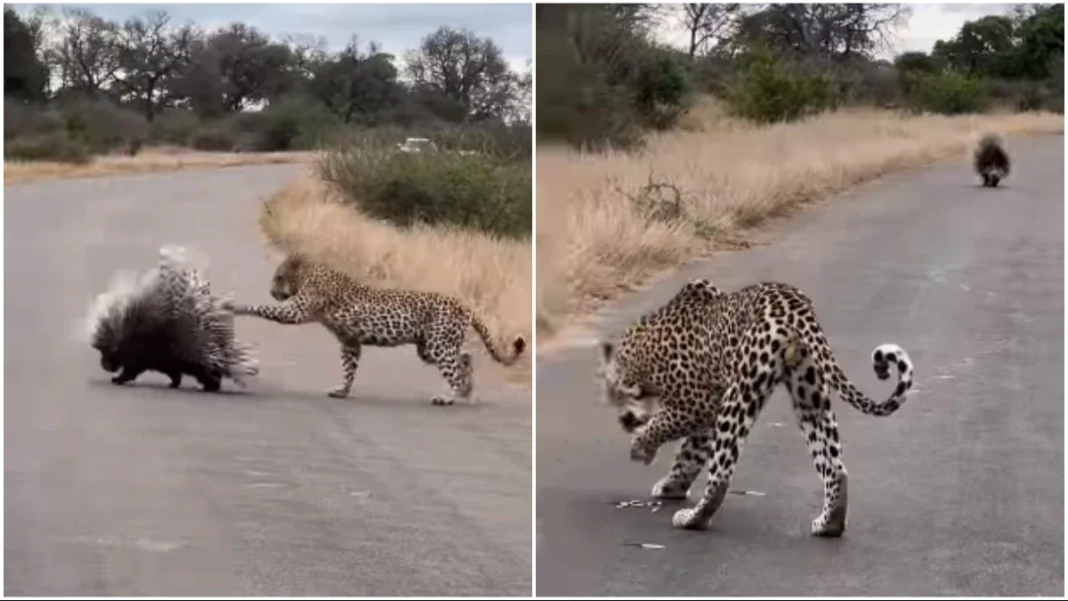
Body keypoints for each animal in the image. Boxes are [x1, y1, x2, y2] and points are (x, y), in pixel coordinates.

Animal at [231, 251, 523, 407]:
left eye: (279, 277)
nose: (273, 291)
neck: (309, 273)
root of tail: (464, 304)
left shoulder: (295, 312)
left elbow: (261, 309)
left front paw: (235, 306)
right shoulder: (350, 341)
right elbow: (349, 369)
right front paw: (342, 390)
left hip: (438, 344)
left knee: (454, 366)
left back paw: (448, 396)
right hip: (429, 347)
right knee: (465, 357)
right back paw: (467, 390)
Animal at [598, 279, 914, 538]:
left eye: (615, 395)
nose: (624, 421)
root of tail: (795, 305)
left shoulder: (697, 405)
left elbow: (663, 427)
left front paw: (641, 449)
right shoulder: (707, 415)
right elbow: (689, 454)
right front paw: (671, 486)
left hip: (742, 392)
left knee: (721, 476)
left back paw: (692, 519)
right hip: (809, 392)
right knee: (834, 466)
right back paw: (829, 523)